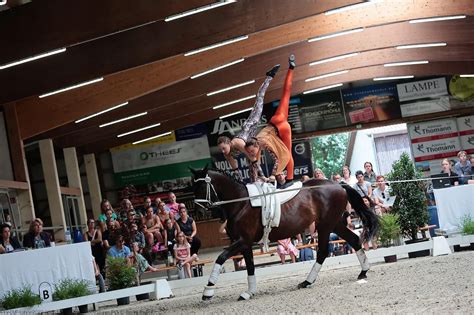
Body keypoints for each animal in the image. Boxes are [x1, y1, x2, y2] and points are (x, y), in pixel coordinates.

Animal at [191, 167, 380, 302]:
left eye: (202, 186)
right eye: (192, 186)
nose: (198, 213)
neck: (240, 203)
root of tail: (338, 184)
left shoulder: (242, 240)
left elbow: (221, 257)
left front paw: (207, 292)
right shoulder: (245, 243)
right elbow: (250, 266)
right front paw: (249, 293)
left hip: (325, 226)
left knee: (323, 251)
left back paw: (307, 281)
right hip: (334, 224)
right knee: (354, 240)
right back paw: (363, 272)